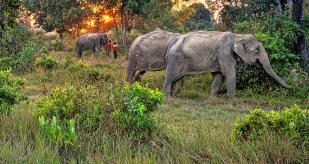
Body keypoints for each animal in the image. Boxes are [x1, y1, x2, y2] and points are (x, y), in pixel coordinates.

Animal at [162, 31, 290, 98]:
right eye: (257, 50)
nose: (292, 88)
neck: (238, 36)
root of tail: (171, 44)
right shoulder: (224, 54)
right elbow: (229, 73)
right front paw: (233, 99)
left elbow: (219, 76)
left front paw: (214, 97)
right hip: (175, 59)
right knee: (170, 77)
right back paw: (166, 97)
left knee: (176, 79)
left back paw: (172, 96)